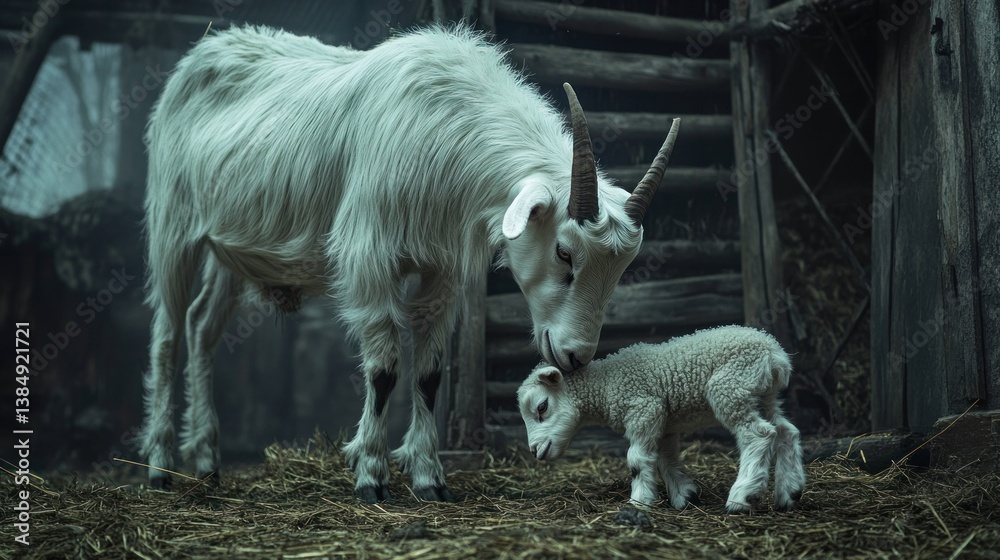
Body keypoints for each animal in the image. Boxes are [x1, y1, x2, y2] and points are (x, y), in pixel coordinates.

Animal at [139, 24, 681, 503]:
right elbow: (384, 370)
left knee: (201, 327)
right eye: (564, 252)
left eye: (620, 270)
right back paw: (159, 466)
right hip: (173, 225)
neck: (446, 127)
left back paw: (206, 462)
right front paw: (370, 475)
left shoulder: (439, 269)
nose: (575, 356)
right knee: (167, 335)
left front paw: (429, 479)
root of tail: (206, 48)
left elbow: (428, 373)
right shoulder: (368, 256)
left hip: (229, 250)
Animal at [516, 325, 806, 514]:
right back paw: (789, 492)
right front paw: (684, 495)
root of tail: (775, 354)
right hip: (762, 394)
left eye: (541, 407)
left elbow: (637, 460)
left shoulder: (644, 408)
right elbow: (665, 458)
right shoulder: (665, 422)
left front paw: (639, 502)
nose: (534, 451)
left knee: (758, 434)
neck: (605, 385)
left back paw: (742, 496)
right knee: (785, 431)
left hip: (731, 387)